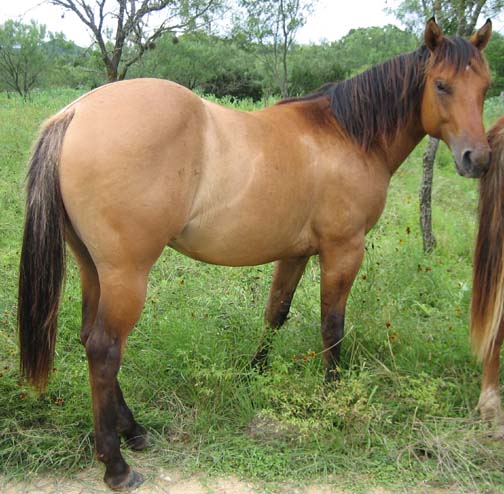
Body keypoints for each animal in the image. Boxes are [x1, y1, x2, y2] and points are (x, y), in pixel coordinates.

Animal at [19, 18, 492, 490]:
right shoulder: (343, 250)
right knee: (105, 349)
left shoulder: (296, 253)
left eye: (486, 86)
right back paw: (116, 464)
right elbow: (332, 326)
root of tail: (75, 113)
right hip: (126, 273)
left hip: (93, 268)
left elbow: (275, 313)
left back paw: (133, 431)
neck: (347, 135)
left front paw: (254, 373)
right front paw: (333, 395)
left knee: (90, 338)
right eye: (442, 85)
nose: (478, 158)